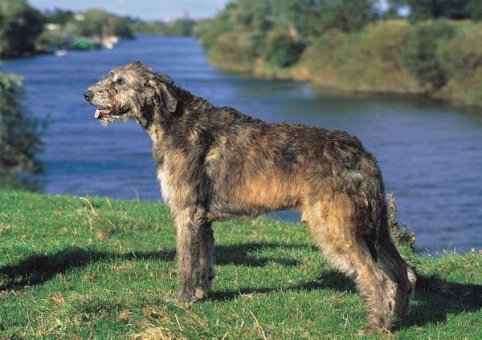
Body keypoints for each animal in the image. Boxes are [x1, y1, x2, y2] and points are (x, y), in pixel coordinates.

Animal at [84, 61, 416, 332]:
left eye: (120, 82)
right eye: (111, 77)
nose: (87, 94)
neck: (173, 120)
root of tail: (362, 154)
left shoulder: (186, 212)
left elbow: (187, 262)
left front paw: (182, 300)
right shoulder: (202, 218)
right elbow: (205, 258)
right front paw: (202, 293)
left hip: (334, 225)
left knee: (379, 278)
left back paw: (376, 325)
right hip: (378, 226)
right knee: (404, 273)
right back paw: (397, 318)